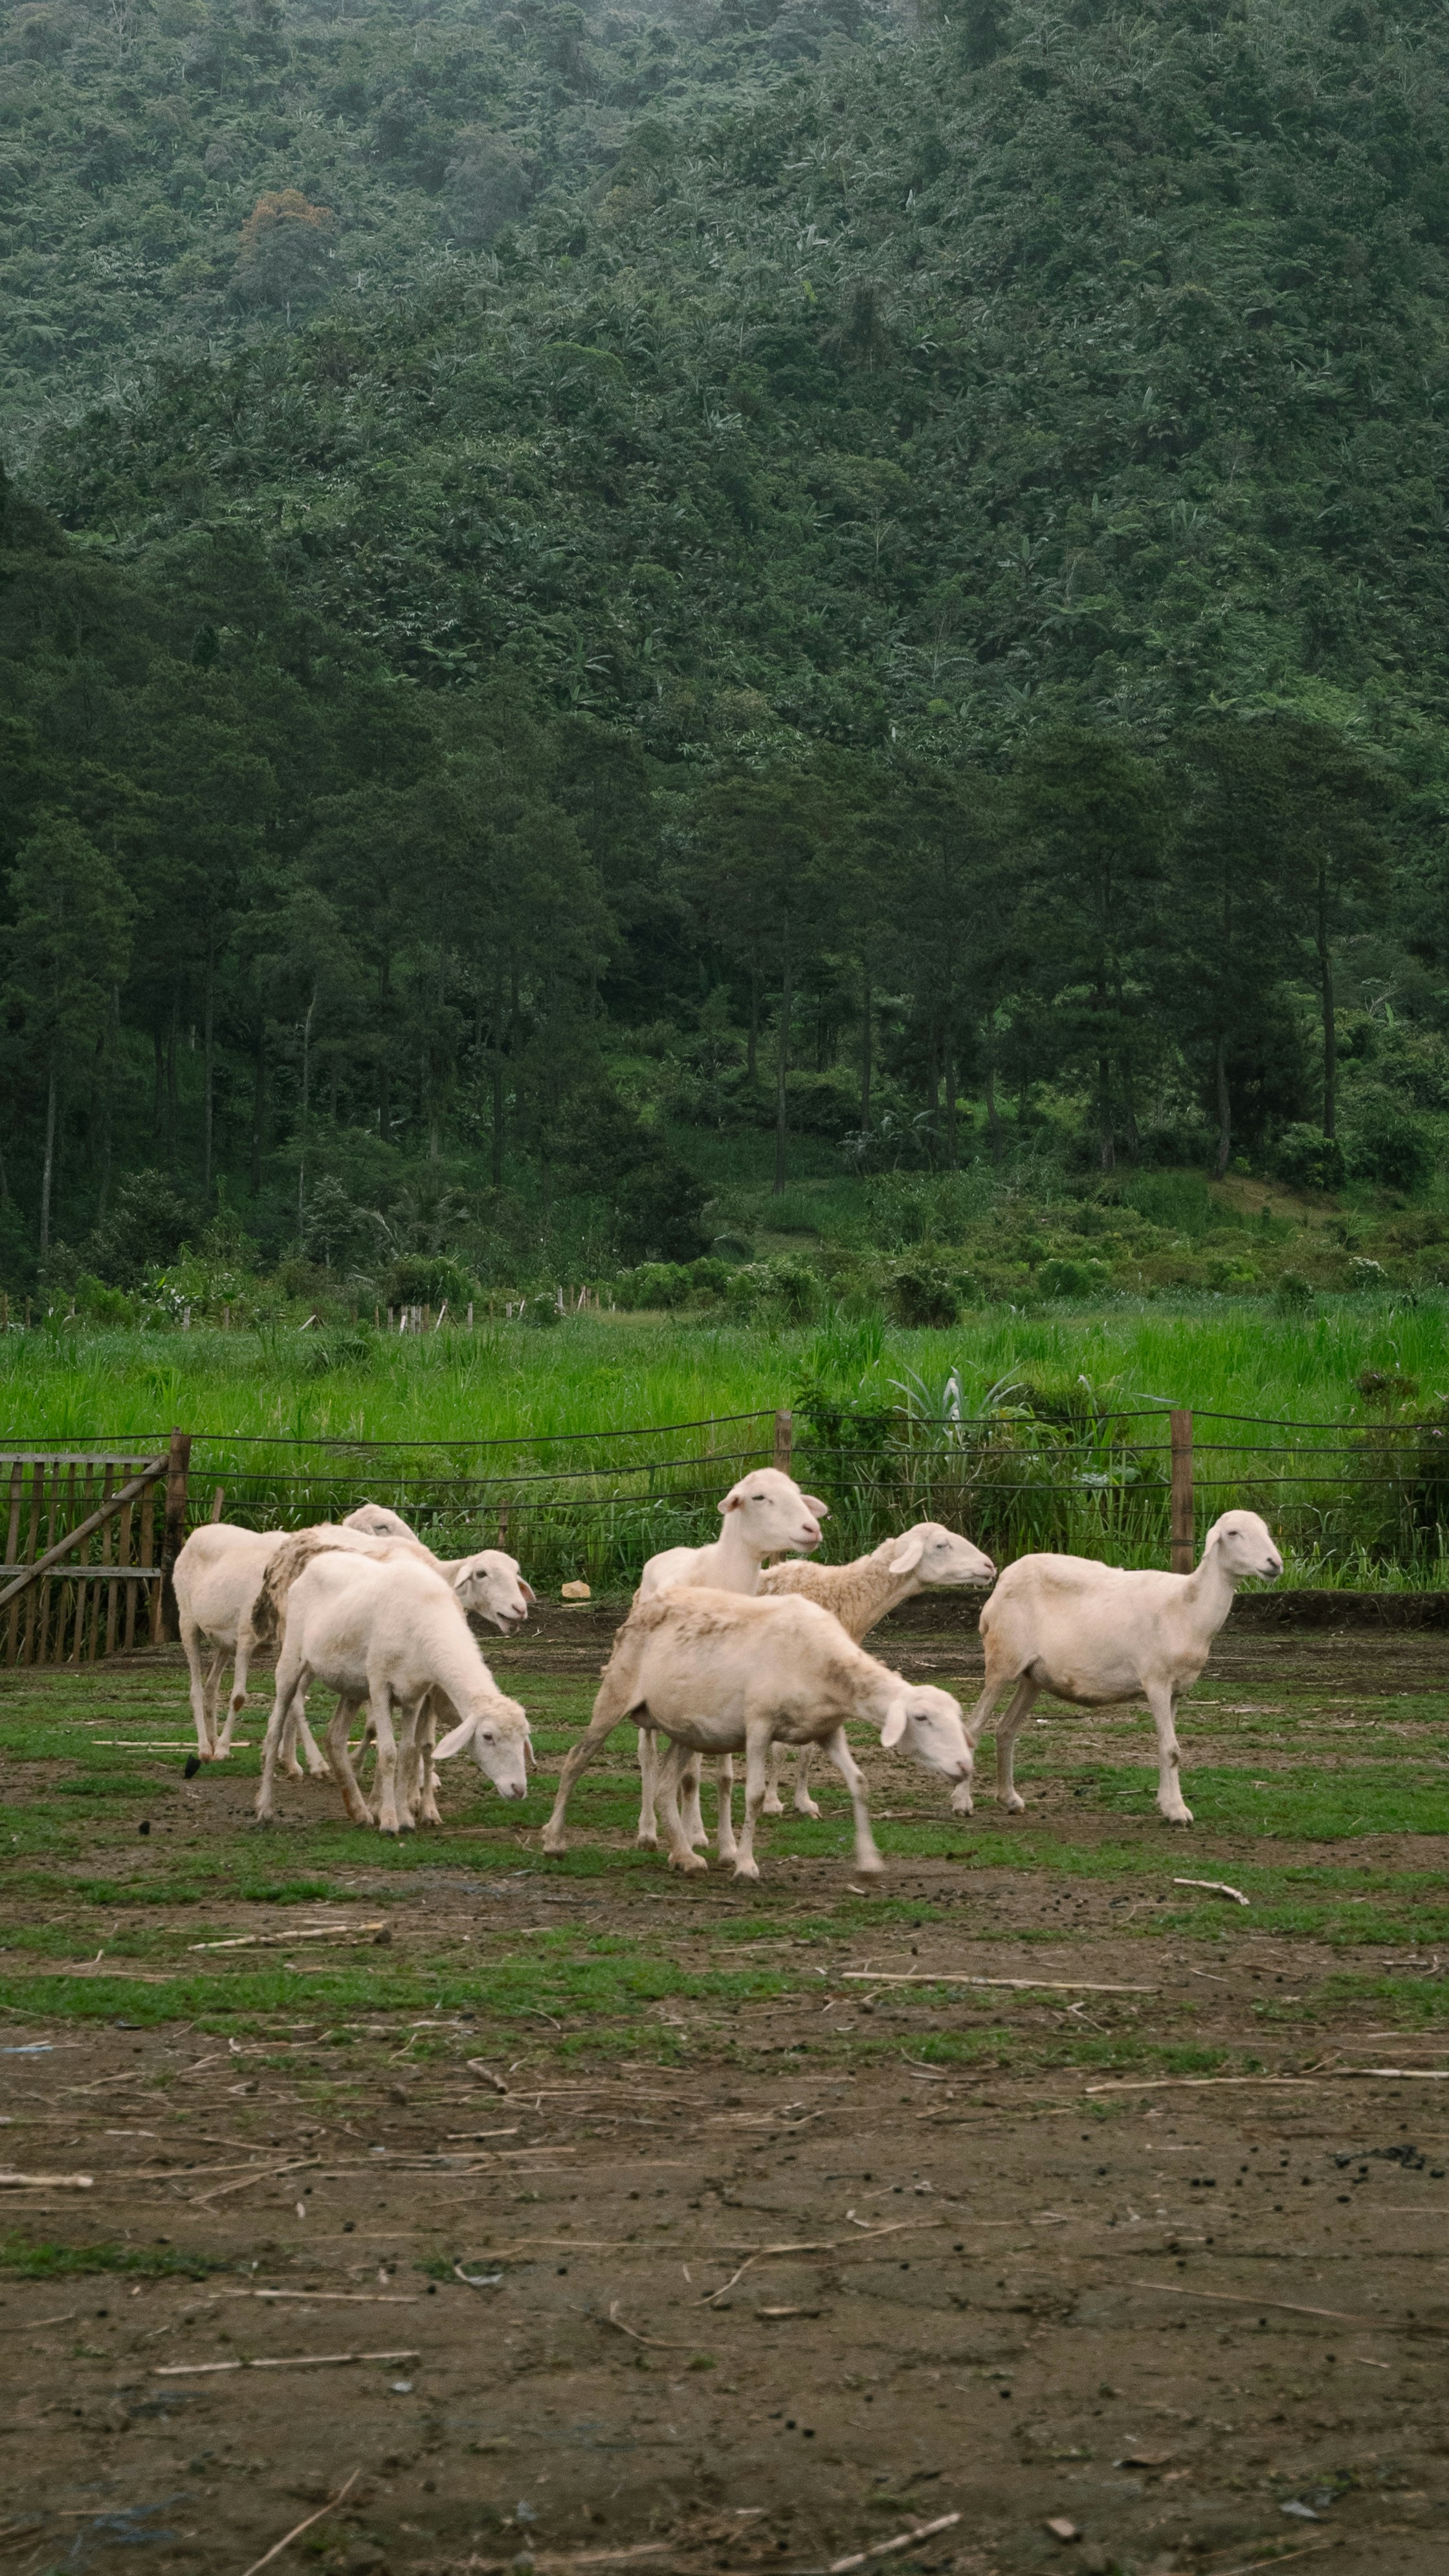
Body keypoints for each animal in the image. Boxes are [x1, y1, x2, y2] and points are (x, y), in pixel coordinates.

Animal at [256, 1550, 531, 1833]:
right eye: (488, 1736)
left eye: (524, 1737)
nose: (518, 1789)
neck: (427, 1618)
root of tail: (318, 1561)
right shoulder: (380, 1687)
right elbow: (388, 1753)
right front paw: (389, 1820)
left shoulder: (415, 1694)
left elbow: (409, 1752)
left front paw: (406, 1817)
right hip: (293, 1659)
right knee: (275, 1728)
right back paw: (265, 1807)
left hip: (352, 1685)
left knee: (334, 1738)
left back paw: (359, 1811)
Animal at [541, 1587, 972, 1882]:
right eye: (921, 1718)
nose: (965, 1766)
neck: (824, 1664)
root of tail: (642, 1606)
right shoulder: (760, 1726)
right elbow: (754, 1796)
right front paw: (746, 1865)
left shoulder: (828, 1729)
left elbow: (859, 1782)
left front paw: (868, 1861)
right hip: (615, 1694)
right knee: (576, 1759)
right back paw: (554, 1841)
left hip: (686, 1729)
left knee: (664, 1786)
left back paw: (685, 1857)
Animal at [635, 1466, 829, 1851]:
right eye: (759, 1497)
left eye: (797, 1492)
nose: (811, 1529)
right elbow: (690, 1775)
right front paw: (690, 1837)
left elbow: (723, 1776)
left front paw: (725, 1844)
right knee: (647, 1756)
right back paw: (649, 1830)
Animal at [756, 1522, 996, 1816]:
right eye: (941, 1545)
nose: (989, 1566)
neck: (842, 1596)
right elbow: (779, 1748)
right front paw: (771, 1802)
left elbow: (808, 1749)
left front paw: (803, 1801)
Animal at [958, 1510, 1283, 1826]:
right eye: (1233, 1533)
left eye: (1266, 1530)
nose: (1275, 1564)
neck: (1188, 1607)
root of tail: (1003, 1582)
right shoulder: (1156, 1681)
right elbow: (1172, 1749)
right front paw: (1177, 1811)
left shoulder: (1175, 1690)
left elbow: (1167, 1748)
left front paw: (1166, 1803)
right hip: (1003, 1662)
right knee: (973, 1728)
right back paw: (963, 1804)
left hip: (1033, 1676)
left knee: (1006, 1729)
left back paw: (1010, 1800)